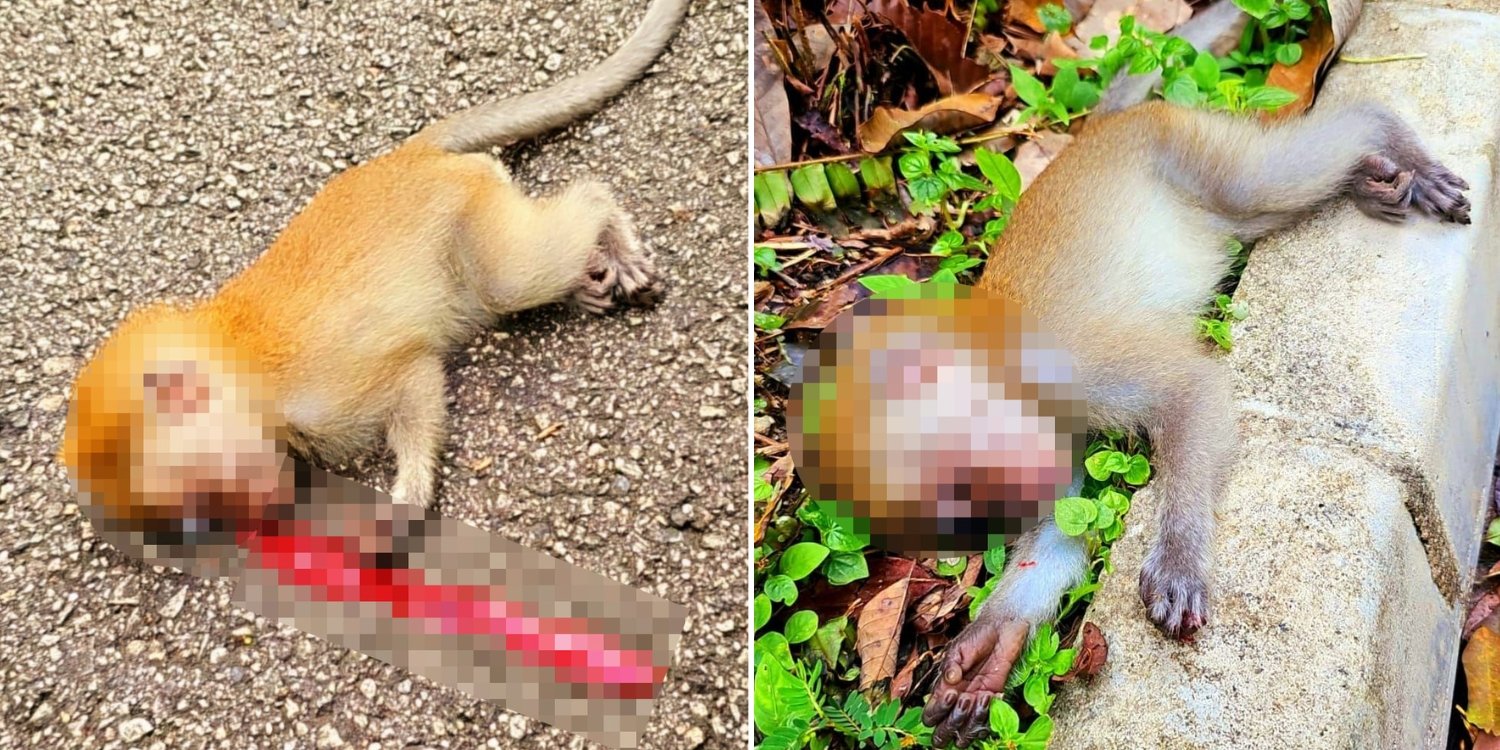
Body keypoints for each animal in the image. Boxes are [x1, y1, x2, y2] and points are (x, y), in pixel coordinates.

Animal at [59, 0, 689, 550]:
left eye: (204, 493)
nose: (247, 521)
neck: (240, 365)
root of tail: (405, 158)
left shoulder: (324, 389)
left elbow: (413, 378)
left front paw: (405, 500)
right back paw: (587, 278)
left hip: (470, 207)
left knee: (516, 269)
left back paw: (607, 225)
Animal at [908, 14, 1471, 750]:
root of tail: (1091, 136)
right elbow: (1062, 534)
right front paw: (990, 646)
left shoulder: (1073, 368)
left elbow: (1192, 390)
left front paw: (1177, 556)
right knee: (1256, 210)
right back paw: (1369, 178)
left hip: (1182, 145)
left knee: (1259, 183)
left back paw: (1381, 136)